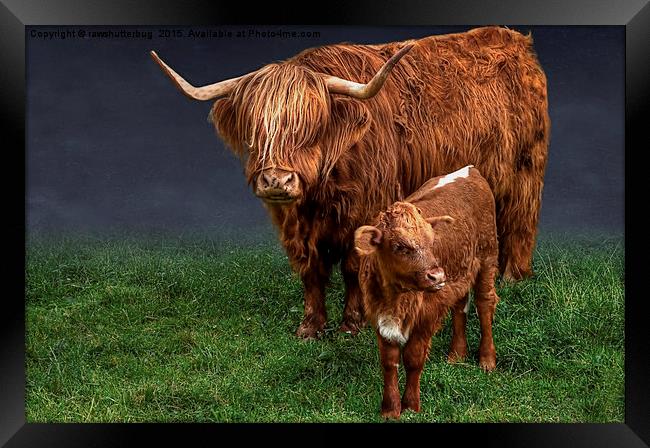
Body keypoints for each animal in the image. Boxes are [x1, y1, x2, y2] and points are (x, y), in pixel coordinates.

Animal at [151, 25, 548, 340]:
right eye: (257, 128)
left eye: (311, 127)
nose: (276, 179)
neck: (321, 193)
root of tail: (514, 39)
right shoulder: (297, 228)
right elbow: (311, 271)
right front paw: (310, 327)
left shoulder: (368, 210)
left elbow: (354, 266)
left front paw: (352, 324)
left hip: (525, 170)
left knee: (519, 220)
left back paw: (513, 277)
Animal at [354, 165, 496, 420]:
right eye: (399, 246)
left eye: (432, 241)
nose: (437, 276)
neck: (395, 299)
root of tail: (470, 169)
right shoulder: (377, 315)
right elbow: (389, 362)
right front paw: (390, 409)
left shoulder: (427, 315)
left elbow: (413, 358)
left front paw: (411, 405)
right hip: (460, 272)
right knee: (460, 306)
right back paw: (456, 355)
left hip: (488, 256)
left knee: (484, 303)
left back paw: (487, 359)